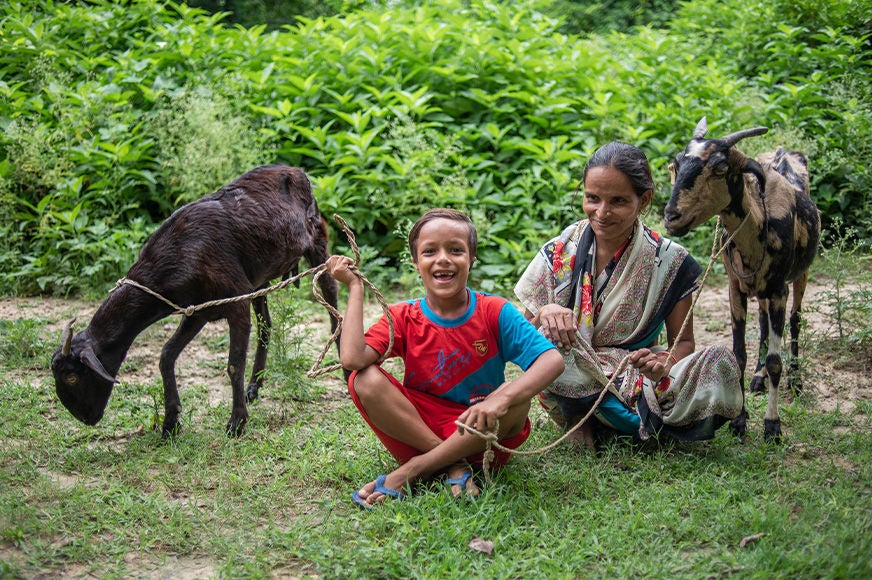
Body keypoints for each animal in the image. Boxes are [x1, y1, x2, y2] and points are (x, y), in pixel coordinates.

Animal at [49, 163, 338, 436]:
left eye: (72, 377)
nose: (84, 418)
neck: (175, 257)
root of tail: (296, 171)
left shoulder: (236, 303)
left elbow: (234, 365)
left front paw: (236, 423)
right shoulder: (197, 311)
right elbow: (166, 355)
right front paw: (170, 422)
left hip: (316, 242)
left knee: (330, 289)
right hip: (258, 279)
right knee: (266, 323)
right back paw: (255, 386)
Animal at [668, 118, 816, 440]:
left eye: (721, 167)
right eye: (676, 164)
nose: (672, 216)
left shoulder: (778, 291)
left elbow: (775, 361)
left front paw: (772, 425)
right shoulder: (735, 289)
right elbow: (739, 356)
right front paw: (739, 419)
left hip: (799, 277)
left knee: (796, 320)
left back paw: (796, 380)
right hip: (759, 291)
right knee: (763, 322)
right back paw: (758, 378)